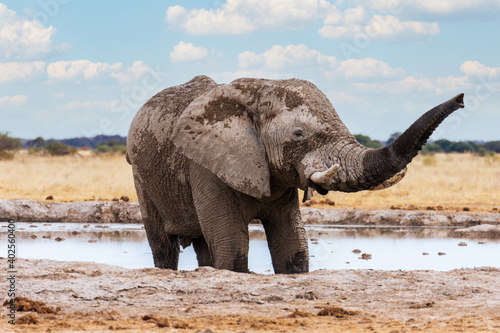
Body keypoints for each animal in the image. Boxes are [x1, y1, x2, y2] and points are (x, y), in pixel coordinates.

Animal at [126, 75, 464, 272]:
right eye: (299, 134)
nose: (461, 98)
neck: (256, 91)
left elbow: (294, 248)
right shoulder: (206, 165)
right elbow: (233, 248)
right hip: (140, 174)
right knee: (164, 246)